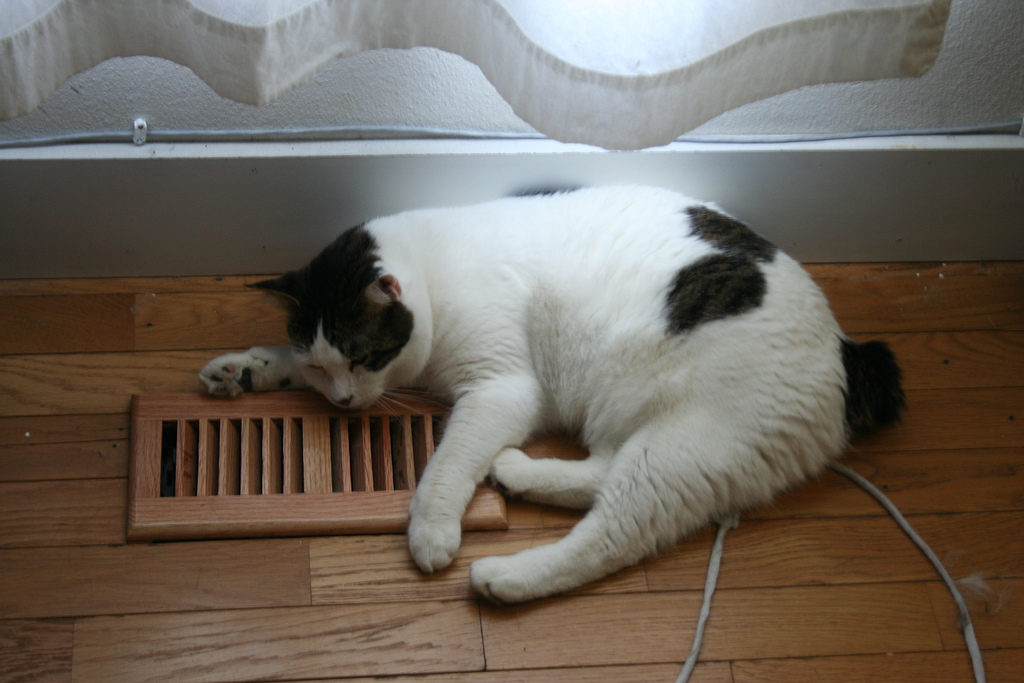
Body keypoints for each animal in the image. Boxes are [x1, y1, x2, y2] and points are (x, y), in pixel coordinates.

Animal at [199, 185, 905, 602]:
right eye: (325, 366)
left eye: (361, 355)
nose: (343, 403)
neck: (432, 276)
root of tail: (849, 353)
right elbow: (282, 358)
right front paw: (245, 370)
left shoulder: (501, 390)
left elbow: (444, 466)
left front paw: (430, 529)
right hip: (638, 424)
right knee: (602, 472)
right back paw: (516, 471)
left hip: (682, 446)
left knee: (613, 535)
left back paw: (506, 575)